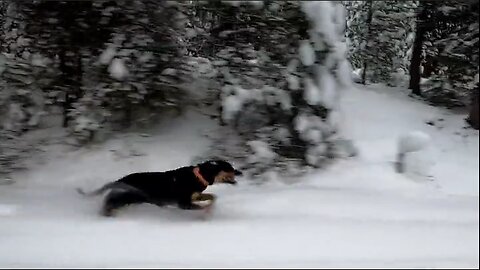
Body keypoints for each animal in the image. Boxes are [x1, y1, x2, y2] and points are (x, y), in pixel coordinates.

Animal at [77, 159, 242, 216]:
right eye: (229, 168)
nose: (240, 172)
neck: (198, 176)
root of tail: (121, 179)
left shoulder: (194, 196)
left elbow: (212, 197)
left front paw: (210, 208)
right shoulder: (183, 203)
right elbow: (203, 206)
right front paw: (207, 213)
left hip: (129, 199)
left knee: (110, 199)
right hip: (127, 197)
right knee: (109, 201)